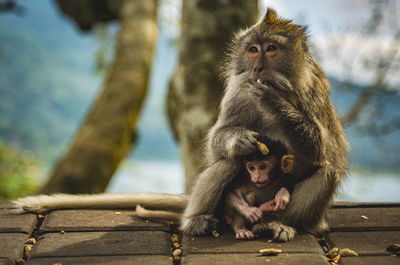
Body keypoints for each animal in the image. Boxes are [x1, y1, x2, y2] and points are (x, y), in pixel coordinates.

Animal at [180, 8, 346, 241]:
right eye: (253, 50)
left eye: (271, 48)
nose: (257, 68)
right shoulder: (238, 92)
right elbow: (216, 142)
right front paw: (239, 139)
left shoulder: (316, 91)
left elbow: (323, 150)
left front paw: (273, 100)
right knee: (229, 162)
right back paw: (197, 221)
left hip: (313, 219)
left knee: (328, 173)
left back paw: (275, 223)